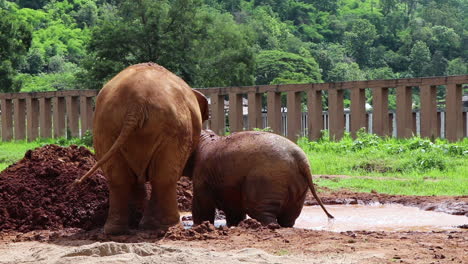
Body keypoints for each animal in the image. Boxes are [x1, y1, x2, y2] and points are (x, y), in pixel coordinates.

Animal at [76, 62, 207, 235]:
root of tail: (136, 103)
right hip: (175, 128)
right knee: (164, 177)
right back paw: (168, 226)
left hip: (104, 128)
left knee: (118, 178)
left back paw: (117, 230)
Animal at [183, 130, 332, 227]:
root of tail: (302, 159)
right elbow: (233, 207)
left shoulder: (202, 174)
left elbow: (202, 204)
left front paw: (199, 226)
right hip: (298, 185)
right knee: (289, 215)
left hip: (267, 179)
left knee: (257, 209)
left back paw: (270, 226)